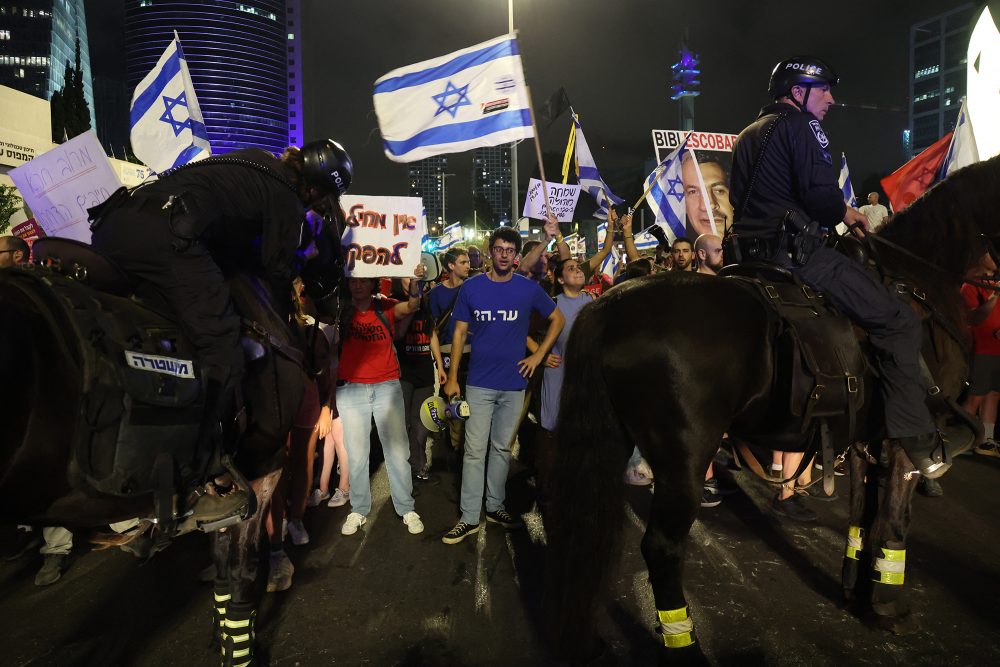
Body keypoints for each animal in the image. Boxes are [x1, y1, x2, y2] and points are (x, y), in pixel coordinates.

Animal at [0, 217, 346, 664]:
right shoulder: (262, 468)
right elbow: (240, 569)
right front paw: (239, 649)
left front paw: (224, 635)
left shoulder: (225, 488)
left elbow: (221, 564)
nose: (338, 301)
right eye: (335, 220)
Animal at [544, 155, 1000, 664]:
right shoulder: (910, 439)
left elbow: (864, 516)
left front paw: (856, 592)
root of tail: (609, 303)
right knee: (663, 548)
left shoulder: (866, 439)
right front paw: (888, 606)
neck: (920, 281)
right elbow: (895, 521)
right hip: (685, 456)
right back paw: (685, 647)